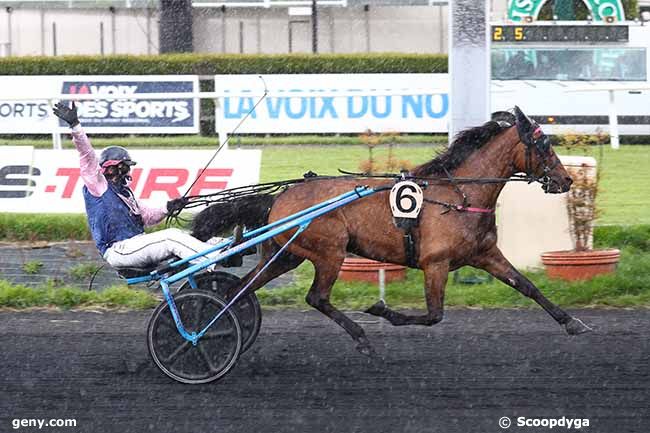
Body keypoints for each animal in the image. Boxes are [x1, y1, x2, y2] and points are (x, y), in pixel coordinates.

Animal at [190, 107, 588, 354]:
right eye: (543, 145)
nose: (567, 179)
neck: (460, 194)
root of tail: (280, 198)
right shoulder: (435, 263)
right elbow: (434, 315)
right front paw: (383, 310)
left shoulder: (486, 254)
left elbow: (528, 286)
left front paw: (572, 322)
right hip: (329, 252)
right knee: (316, 298)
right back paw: (361, 337)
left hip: (286, 255)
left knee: (241, 290)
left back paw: (214, 325)